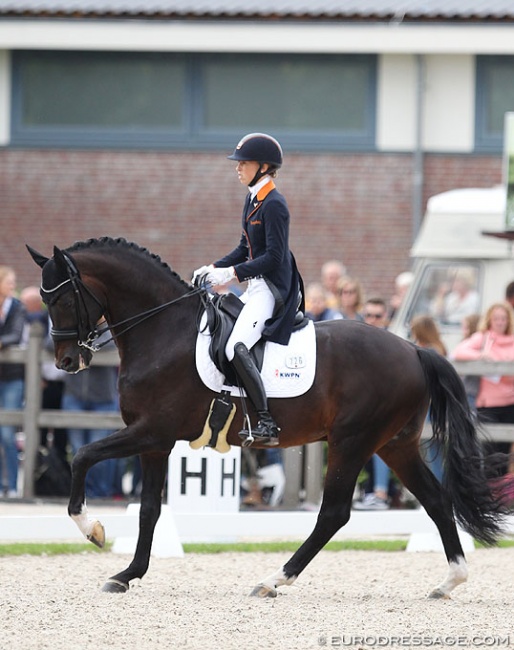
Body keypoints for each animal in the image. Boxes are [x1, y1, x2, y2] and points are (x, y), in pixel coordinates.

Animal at [28, 238, 504, 596]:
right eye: (45, 299)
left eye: (65, 297)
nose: (67, 361)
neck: (163, 331)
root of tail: (414, 350)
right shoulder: (155, 443)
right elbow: (148, 510)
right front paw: (127, 574)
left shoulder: (150, 432)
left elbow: (82, 457)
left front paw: (93, 530)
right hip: (394, 445)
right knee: (436, 500)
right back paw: (450, 580)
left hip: (352, 442)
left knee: (334, 514)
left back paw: (274, 579)